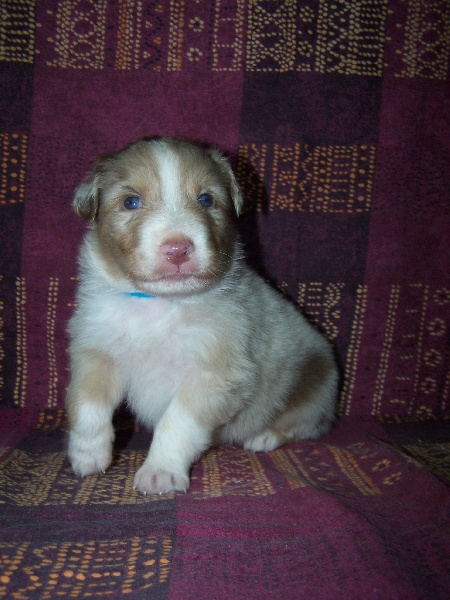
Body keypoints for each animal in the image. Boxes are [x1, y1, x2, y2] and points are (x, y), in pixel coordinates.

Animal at [66, 136, 338, 495]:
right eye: (131, 202)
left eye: (206, 199)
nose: (178, 249)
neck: (160, 304)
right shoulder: (97, 349)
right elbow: (88, 404)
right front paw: (87, 456)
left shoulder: (215, 371)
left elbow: (176, 423)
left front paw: (160, 472)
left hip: (314, 379)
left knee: (307, 424)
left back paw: (264, 436)